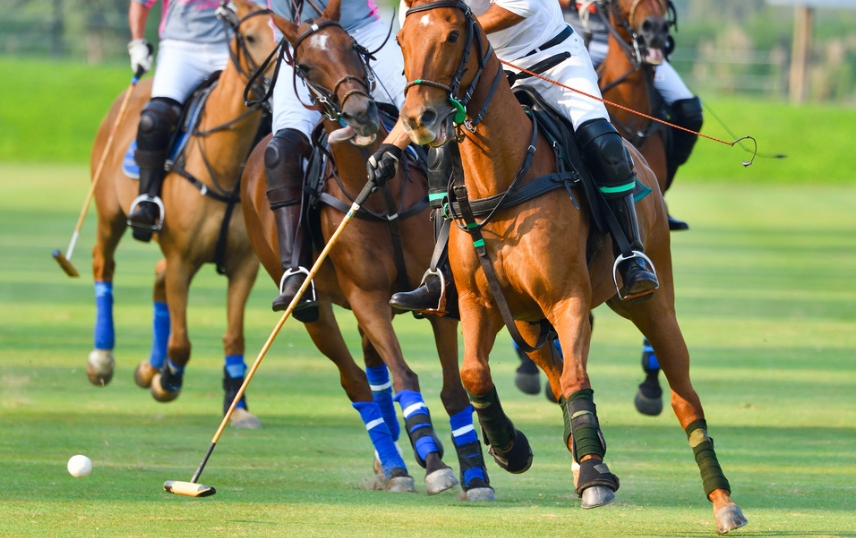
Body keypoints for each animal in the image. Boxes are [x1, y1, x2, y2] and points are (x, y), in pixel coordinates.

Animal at [86, 0, 276, 428]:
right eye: (250, 36)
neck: (225, 164)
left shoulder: (244, 266)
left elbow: (233, 336)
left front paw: (237, 405)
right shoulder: (182, 261)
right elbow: (182, 344)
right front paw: (167, 379)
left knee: (155, 281)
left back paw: (146, 368)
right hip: (109, 214)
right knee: (103, 263)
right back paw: (103, 359)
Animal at [241, 4, 494, 498]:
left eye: (354, 49)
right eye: (304, 66)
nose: (360, 115)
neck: (382, 195)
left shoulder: (436, 296)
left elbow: (451, 387)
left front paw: (474, 471)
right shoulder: (367, 299)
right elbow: (404, 377)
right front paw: (433, 462)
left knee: (373, 375)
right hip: (316, 310)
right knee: (357, 382)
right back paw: (395, 464)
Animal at [398, 0, 744, 528]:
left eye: (453, 35)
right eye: (401, 40)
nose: (419, 117)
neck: (501, 176)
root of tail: (639, 159)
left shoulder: (568, 298)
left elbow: (579, 378)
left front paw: (595, 475)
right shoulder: (480, 302)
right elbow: (475, 373)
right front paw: (512, 448)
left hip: (653, 303)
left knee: (683, 393)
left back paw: (722, 500)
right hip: (528, 318)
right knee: (556, 375)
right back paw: (580, 451)